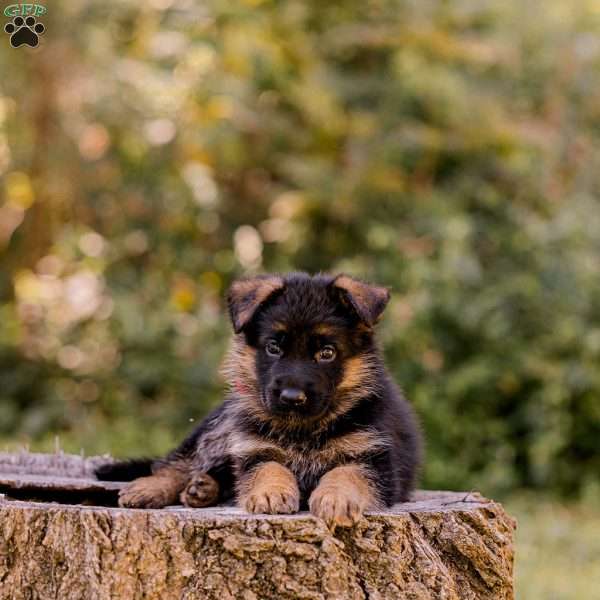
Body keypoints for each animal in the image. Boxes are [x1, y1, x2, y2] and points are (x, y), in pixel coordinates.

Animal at [96, 274, 422, 528]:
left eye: (327, 353)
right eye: (273, 347)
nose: (291, 397)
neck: (303, 430)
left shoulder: (377, 459)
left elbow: (347, 471)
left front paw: (336, 497)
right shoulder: (254, 447)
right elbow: (268, 467)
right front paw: (270, 493)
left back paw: (203, 489)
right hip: (219, 429)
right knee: (177, 462)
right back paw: (152, 488)